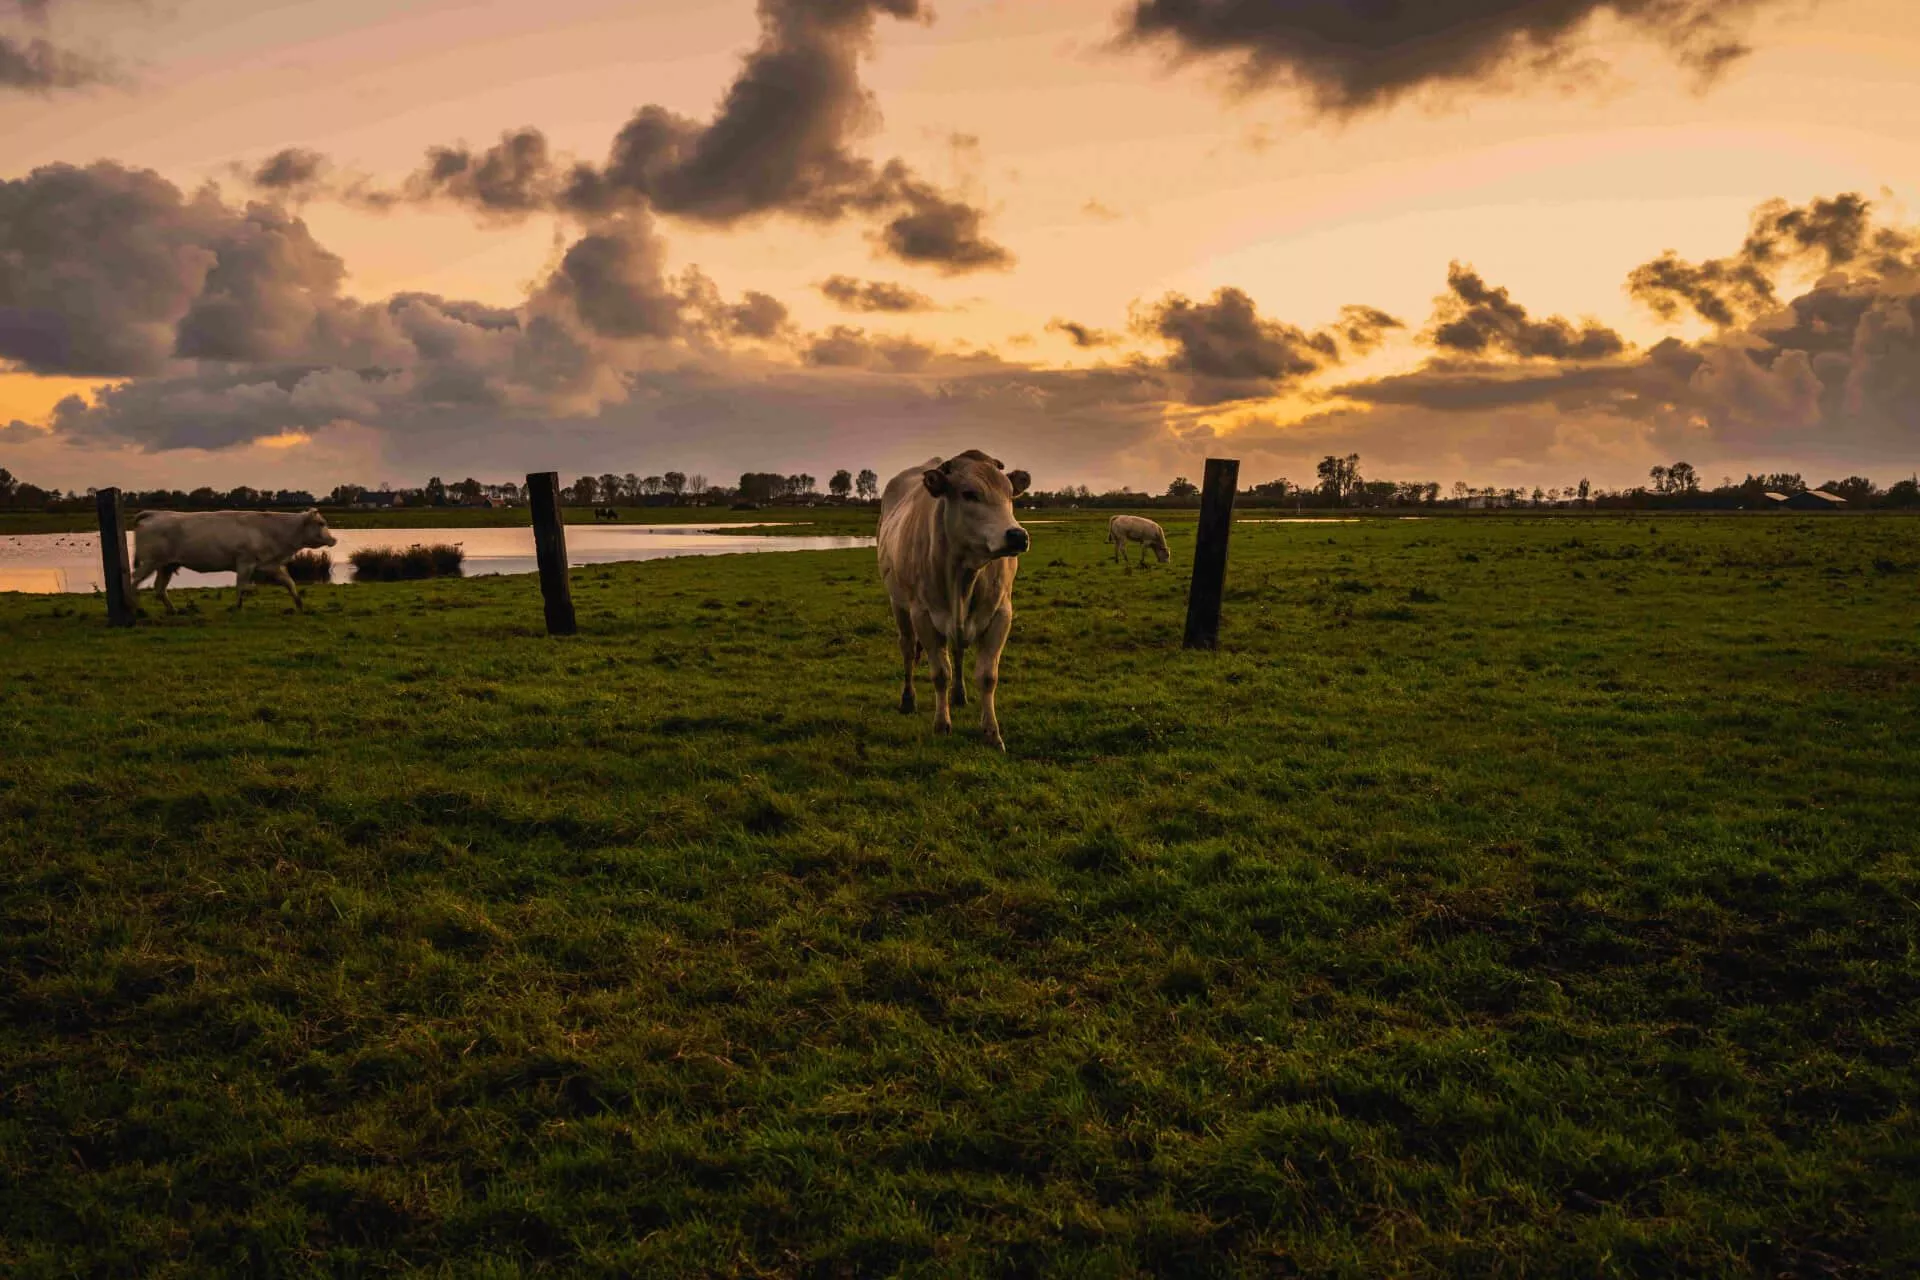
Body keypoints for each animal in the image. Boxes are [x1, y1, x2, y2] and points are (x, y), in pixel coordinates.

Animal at [129, 506, 337, 614]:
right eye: (321, 523)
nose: (334, 539)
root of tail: (155, 513)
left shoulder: (270, 564)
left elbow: (290, 583)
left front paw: (300, 604)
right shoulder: (245, 562)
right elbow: (241, 586)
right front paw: (238, 606)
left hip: (166, 565)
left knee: (159, 589)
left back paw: (173, 610)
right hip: (149, 562)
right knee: (134, 582)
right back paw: (135, 608)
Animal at [879, 450, 1036, 752]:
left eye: (1010, 494)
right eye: (969, 494)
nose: (1017, 536)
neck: (964, 574)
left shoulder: (1001, 614)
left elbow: (987, 676)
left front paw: (991, 733)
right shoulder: (923, 615)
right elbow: (941, 673)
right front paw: (942, 725)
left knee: (959, 651)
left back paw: (960, 696)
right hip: (899, 604)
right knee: (907, 649)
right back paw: (908, 700)